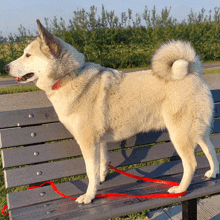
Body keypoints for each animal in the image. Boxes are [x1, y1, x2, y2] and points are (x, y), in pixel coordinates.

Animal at [3, 19, 220, 205]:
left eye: (27, 55)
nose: (5, 68)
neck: (69, 76)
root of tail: (192, 71)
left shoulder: (88, 143)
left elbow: (90, 171)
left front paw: (89, 196)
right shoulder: (99, 142)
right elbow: (101, 164)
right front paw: (100, 181)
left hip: (179, 135)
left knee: (191, 164)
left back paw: (181, 189)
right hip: (198, 132)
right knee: (211, 150)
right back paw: (213, 172)